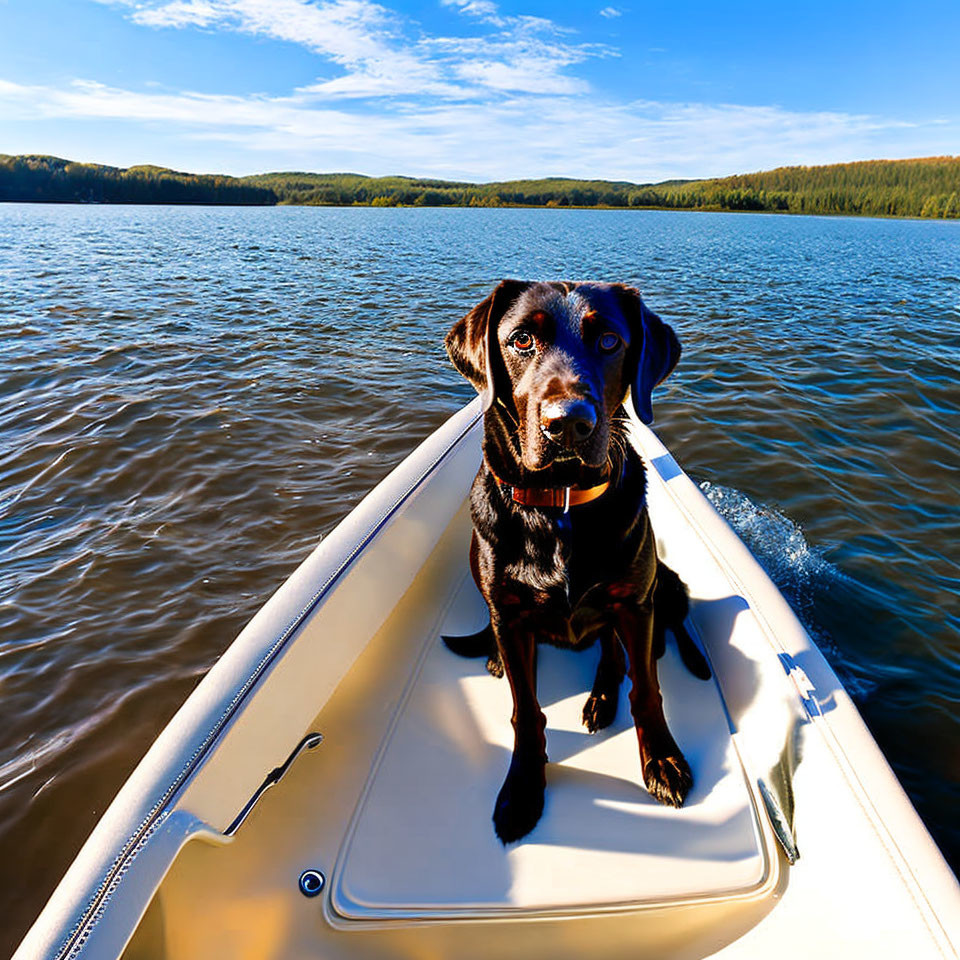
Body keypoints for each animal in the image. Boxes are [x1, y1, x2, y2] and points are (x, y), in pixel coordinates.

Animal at [446, 278, 708, 840]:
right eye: (521, 340)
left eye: (609, 341)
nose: (568, 424)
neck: (560, 507)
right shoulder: (509, 613)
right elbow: (526, 709)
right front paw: (524, 785)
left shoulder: (634, 603)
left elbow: (646, 690)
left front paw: (662, 760)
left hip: (656, 587)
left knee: (623, 650)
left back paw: (608, 694)